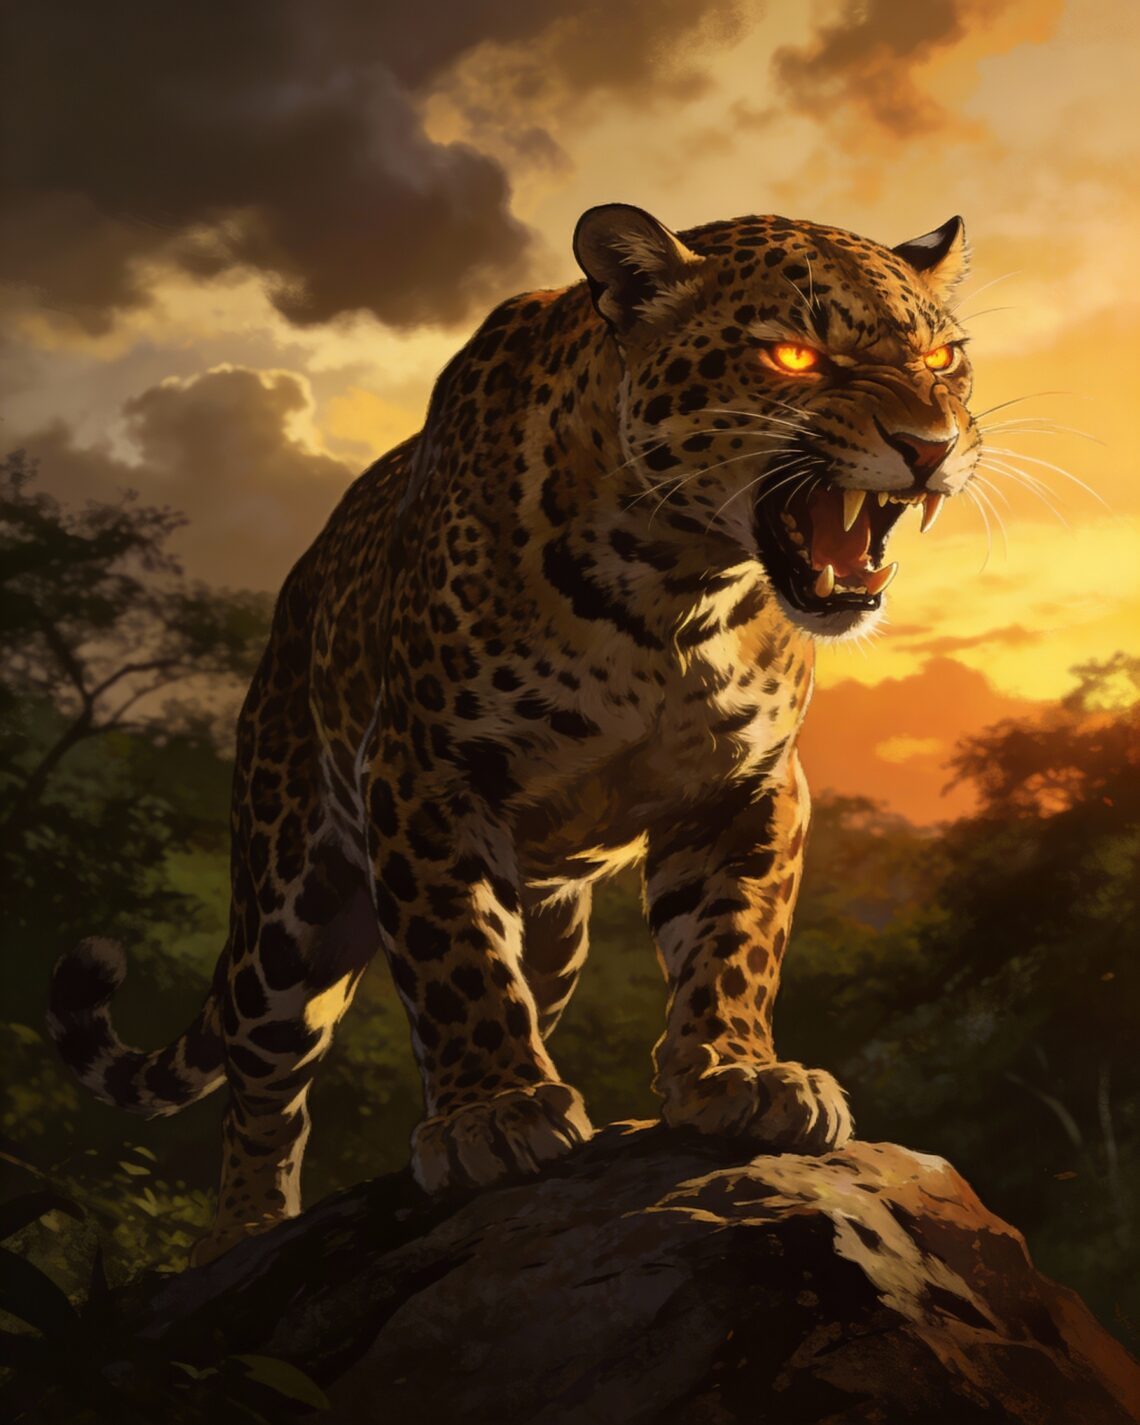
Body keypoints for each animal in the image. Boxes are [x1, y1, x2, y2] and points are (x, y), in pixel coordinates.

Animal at [48, 203, 981, 1265]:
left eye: (944, 357)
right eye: (792, 355)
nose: (932, 445)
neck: (677, 589)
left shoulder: (749, 782)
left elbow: (735, 937)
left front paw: (737, 1073)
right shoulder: (422, 770)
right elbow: (455, 957)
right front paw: (493, 1113)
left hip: (556, 935)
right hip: (288, 904)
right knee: (263, 1080)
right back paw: (246, 1227)